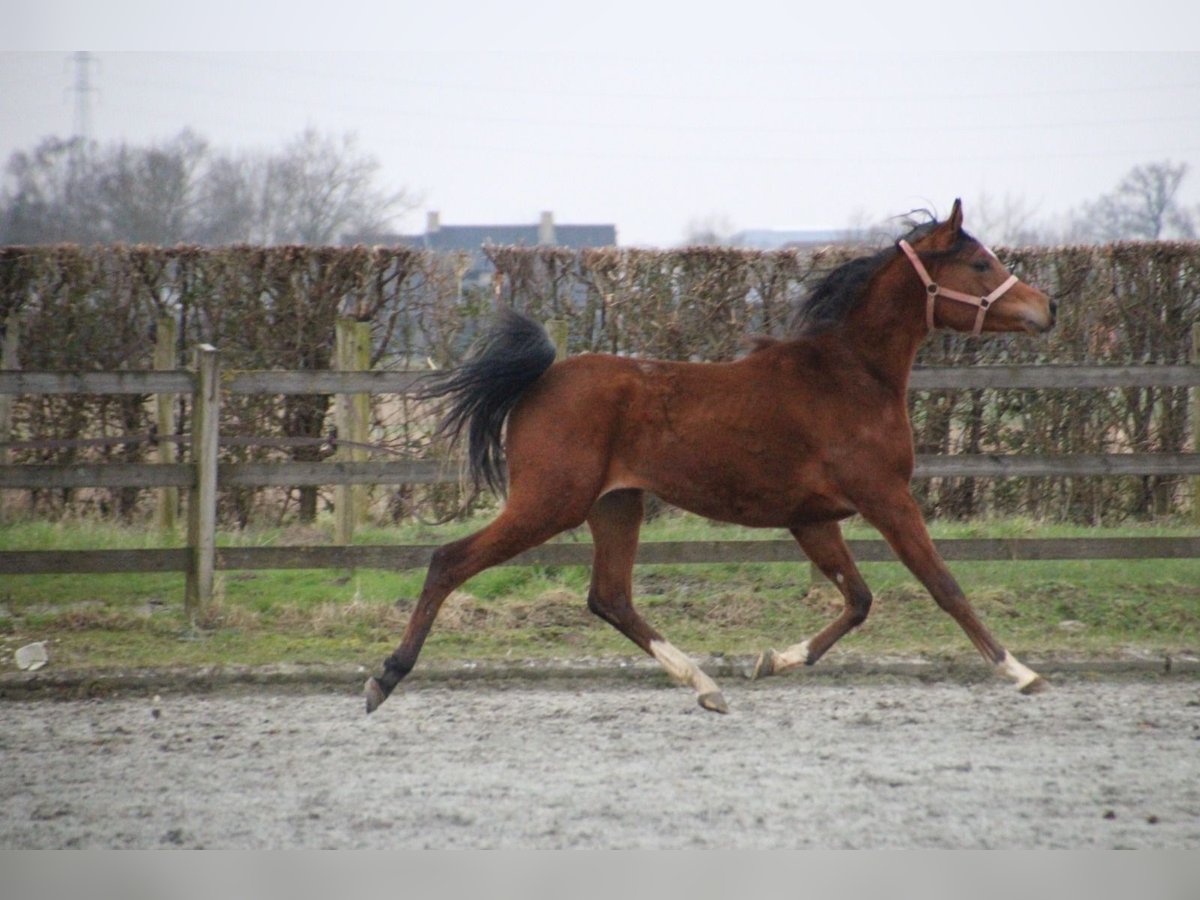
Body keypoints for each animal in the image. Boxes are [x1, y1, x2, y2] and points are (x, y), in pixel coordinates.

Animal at [360, 200, 1056, 715]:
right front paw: (1022, 672)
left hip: (617, 505)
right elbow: (943, 585)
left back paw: (705, 684)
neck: (851, 376)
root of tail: (540, 379)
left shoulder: (813, 517)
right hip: (550, 502)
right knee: (451, 561)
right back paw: (384, 678)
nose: (1047, 308)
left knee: (609, 597)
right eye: (979, 261)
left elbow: (858, 599)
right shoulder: (885, 497)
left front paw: (771, 661)